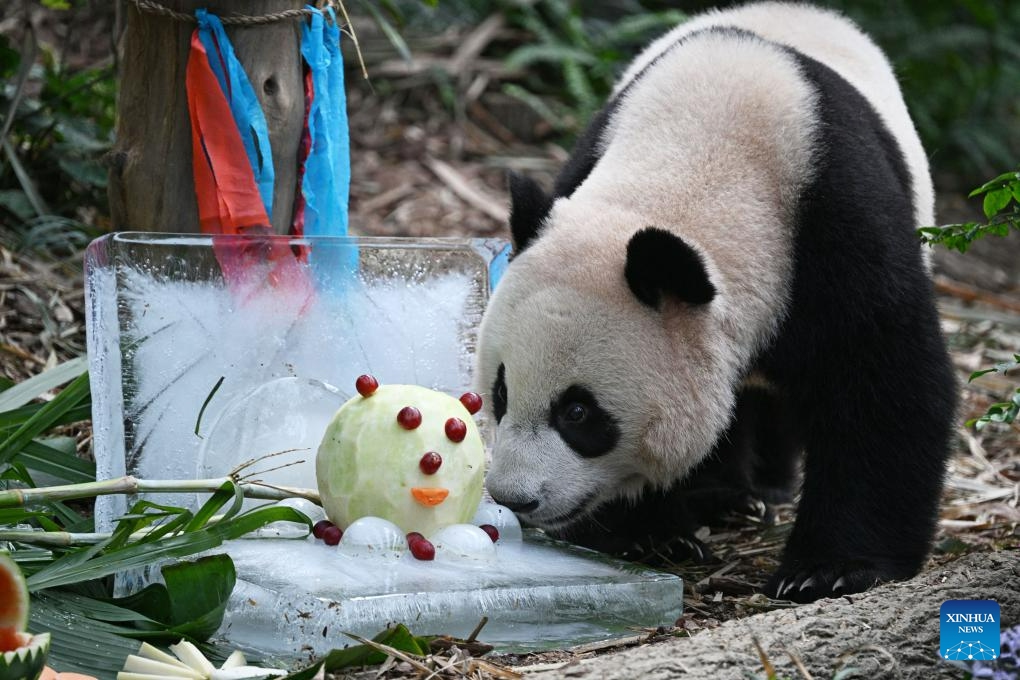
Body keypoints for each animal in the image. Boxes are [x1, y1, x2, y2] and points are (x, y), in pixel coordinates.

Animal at [473, 2, 958, 603]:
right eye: (501, 392)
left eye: (578, 412)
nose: (515, 498)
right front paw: (648, 536)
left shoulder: (836, 218)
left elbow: (881, 377)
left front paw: (828, 570)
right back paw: (718, 495)